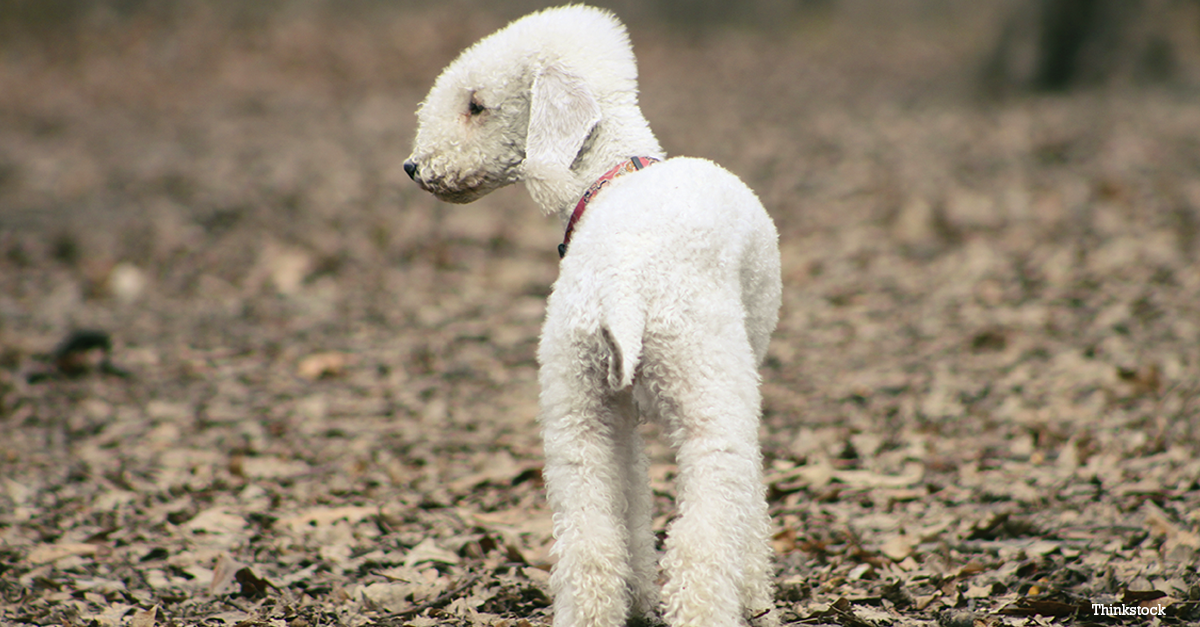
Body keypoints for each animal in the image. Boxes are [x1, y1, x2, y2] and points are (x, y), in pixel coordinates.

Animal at [403, 6, 782, 624]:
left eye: (476, 105)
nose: (413, 166)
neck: (615, 174)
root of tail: (624, 288)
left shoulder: (609, 409)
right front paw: (753, 589)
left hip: (575, 407)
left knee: (588, 541)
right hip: (708, 393)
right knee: (703, 537)